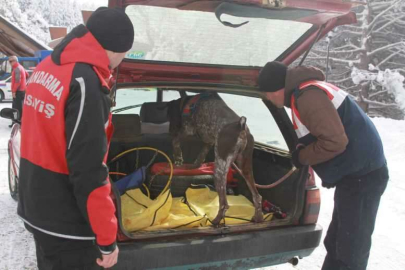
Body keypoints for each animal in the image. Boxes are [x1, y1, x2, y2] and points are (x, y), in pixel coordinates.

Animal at [166, 93, 264, 226]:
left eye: (169, 115)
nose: (169, 130)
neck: (188, 103)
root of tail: (241, 126)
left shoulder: (188, 129)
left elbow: (175, 141)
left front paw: (178, 159)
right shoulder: (208, 142)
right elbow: (201, 155)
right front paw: (194, 166)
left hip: (219, 169)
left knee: (224, 204)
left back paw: (216, 221)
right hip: (245, 167)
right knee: (257, 197)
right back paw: (258, 217)